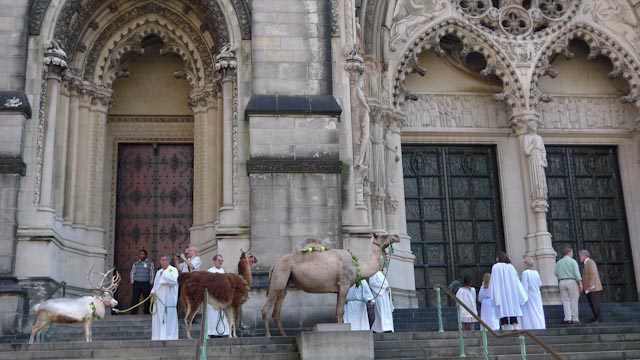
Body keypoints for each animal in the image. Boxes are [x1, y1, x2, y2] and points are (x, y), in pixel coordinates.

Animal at [262, 233, 400, 338]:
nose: (397, 236)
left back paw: (283, 335)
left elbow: (338, 311)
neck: (358, 266)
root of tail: (274, 264)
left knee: (277, 308)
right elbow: (340, 311)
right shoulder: (344, 284)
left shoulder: (339, 289)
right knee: (267, 307)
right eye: (384, 235)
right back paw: (268, 336)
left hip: (285, 281)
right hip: (279, 275)